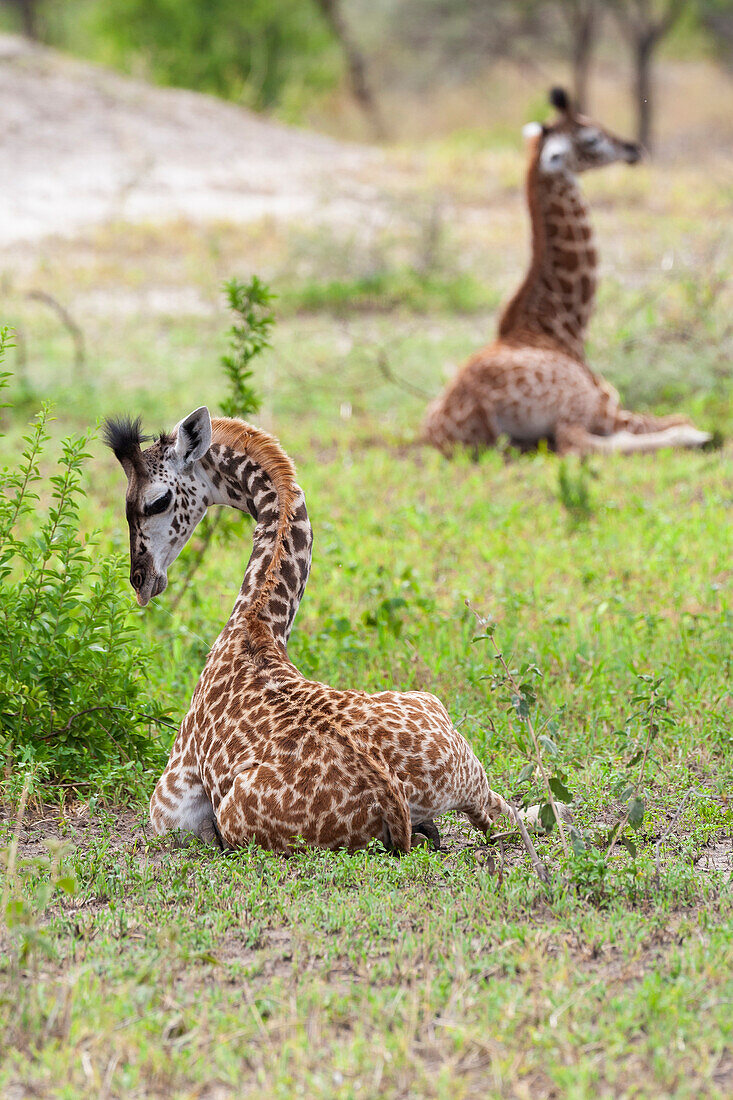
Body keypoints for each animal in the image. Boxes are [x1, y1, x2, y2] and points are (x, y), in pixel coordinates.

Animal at [104, 409, 512, 853]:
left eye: (156, 501)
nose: (141, 581)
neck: (255, 625)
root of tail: (393, 800)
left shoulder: (170, 799)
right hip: (459, 754)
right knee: (509, 815)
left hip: (235, 820)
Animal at [420, 88, 708, 457]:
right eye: (592, 138)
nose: (633, 148)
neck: (562, 328)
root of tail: (477, 405)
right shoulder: (608, 403)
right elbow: (675, 416)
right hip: (579, 405)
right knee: (580, 443)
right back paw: (694, 437)